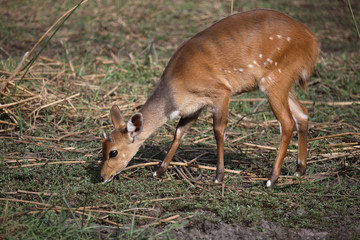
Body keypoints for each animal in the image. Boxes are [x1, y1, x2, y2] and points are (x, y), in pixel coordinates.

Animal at [100, 8, 320, 188]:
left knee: (287, 122)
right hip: (284, 83)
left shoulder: (221, 92)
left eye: (113, 152)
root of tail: (313, 42)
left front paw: (218, 176)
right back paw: (299, 170)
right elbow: (179, 132)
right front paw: (158, 171)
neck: (177, 86)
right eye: (102, 148)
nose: (102, 176)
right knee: (303, 113)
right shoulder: (195, 106)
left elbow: (218, 130)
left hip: (274, 79)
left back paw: (271, 179)